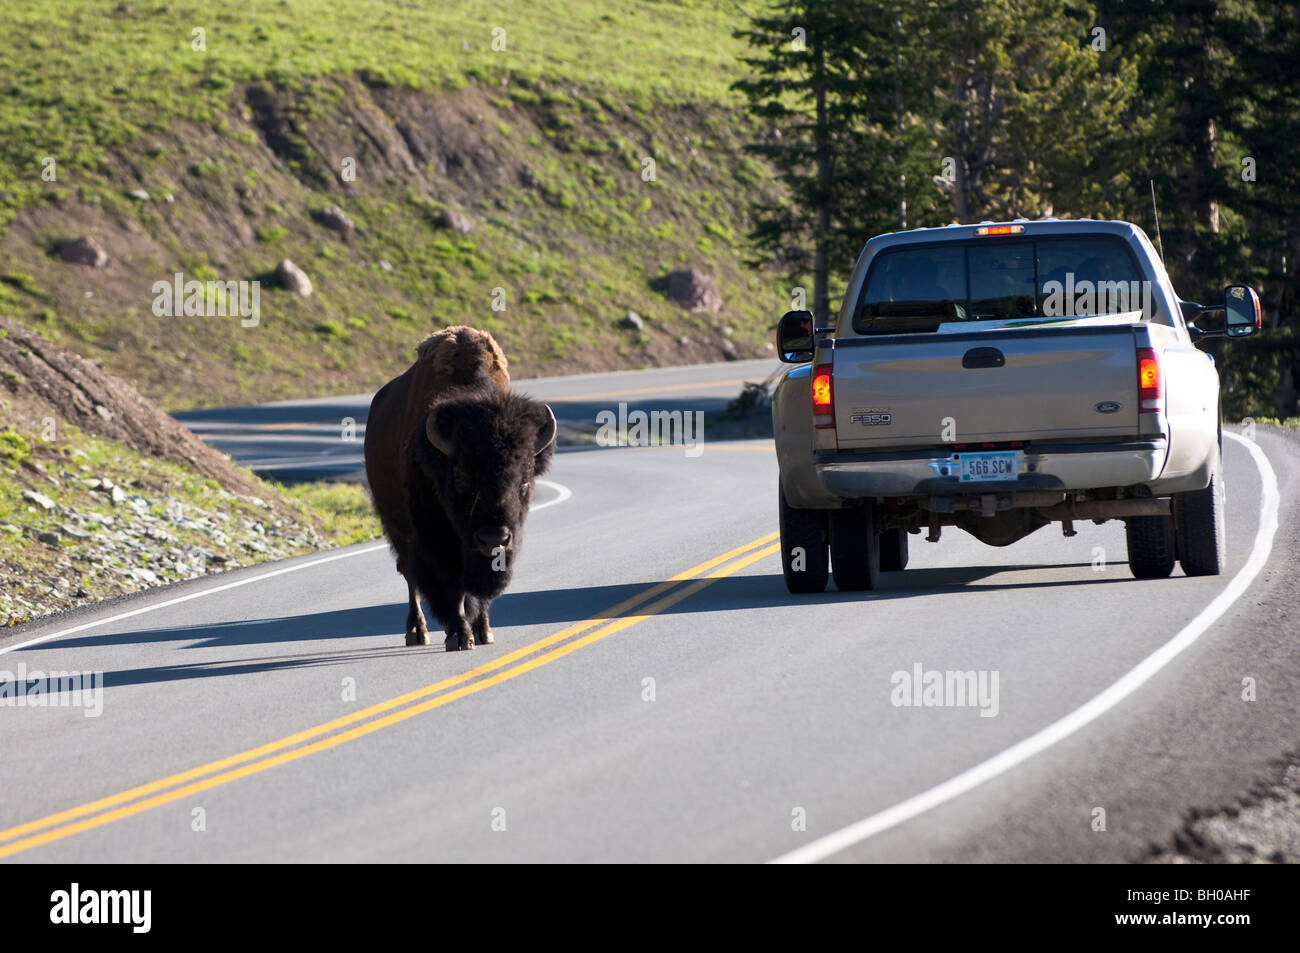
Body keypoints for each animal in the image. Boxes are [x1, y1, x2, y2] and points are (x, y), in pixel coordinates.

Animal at [364, 325, 556, 647]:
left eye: (524, 481)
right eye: (462, 477)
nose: (493, 538)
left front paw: (484, 631)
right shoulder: (433, 536)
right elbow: (448, 583)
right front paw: (460, 636)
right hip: (397, 527)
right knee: (409, 573)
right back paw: (417, 632)